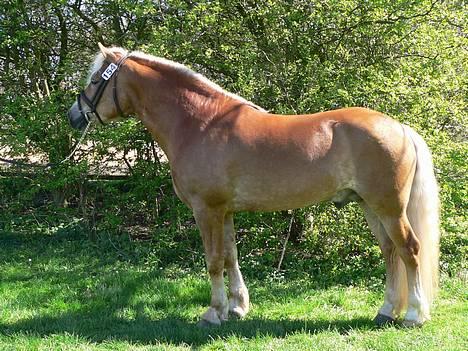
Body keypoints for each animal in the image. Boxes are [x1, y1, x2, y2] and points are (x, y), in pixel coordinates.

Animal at [67, 43, 440, 328]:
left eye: (95, 80)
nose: (74, 115)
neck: (199, 123)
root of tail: (399, 127)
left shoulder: (206, 210)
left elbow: (213, 260)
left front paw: (213, 313)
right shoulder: (225, 211)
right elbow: (231, 256)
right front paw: (236, 307)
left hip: (389, 207)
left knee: (409, 250)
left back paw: (414, 315)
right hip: (369, 205)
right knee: (390, 252)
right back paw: (386, 311)